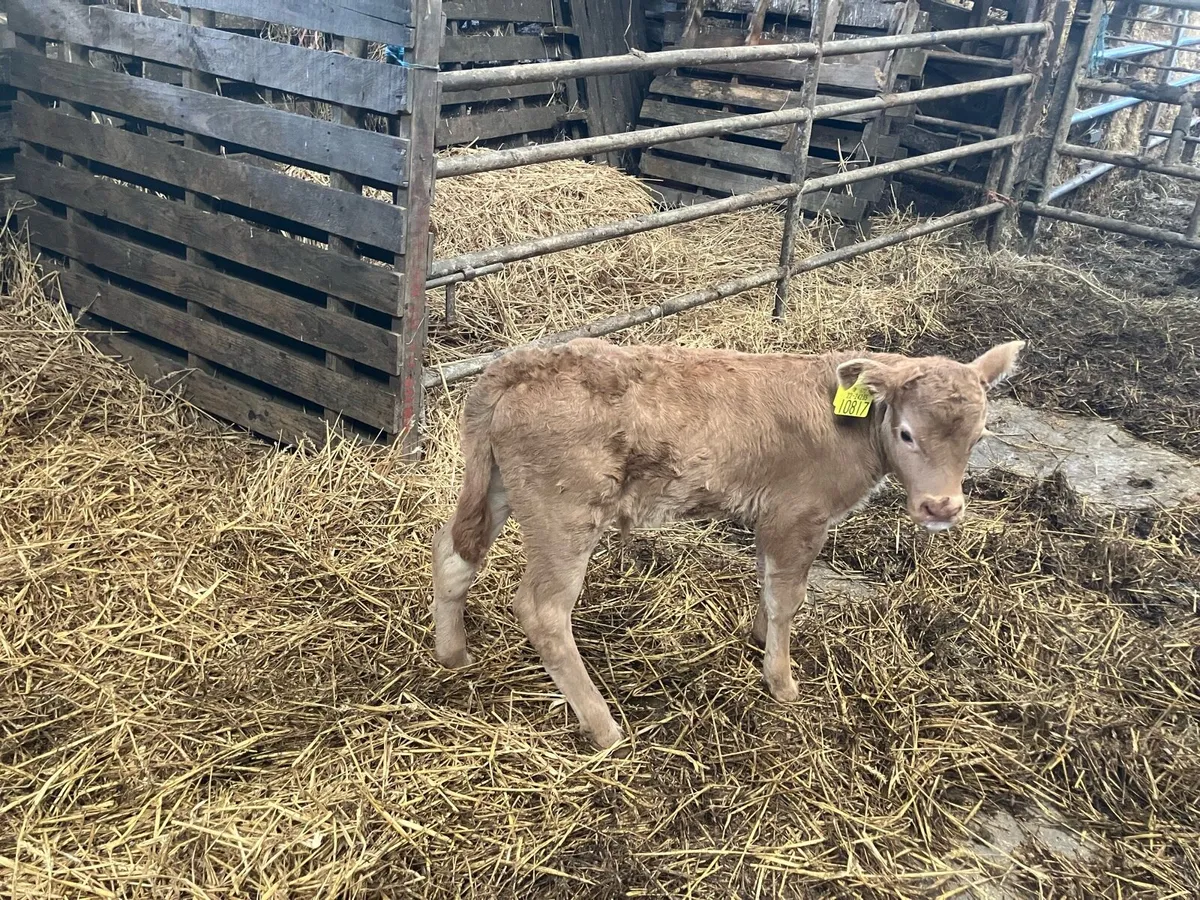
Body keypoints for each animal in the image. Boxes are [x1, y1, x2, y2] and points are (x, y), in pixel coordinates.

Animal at [432, 337, 1025, 749]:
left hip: (499, 486)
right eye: (906, 434)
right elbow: (788, 597)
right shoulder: (798, 516)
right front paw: (781, 681)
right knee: (543, 609)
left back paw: (453, 656)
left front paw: (759, 639)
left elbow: (767, 584)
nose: (942, 508)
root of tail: (514, 366)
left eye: (978, 437)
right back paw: (604, 727)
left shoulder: (772, 516)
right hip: (566, 511)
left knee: (453, 552)